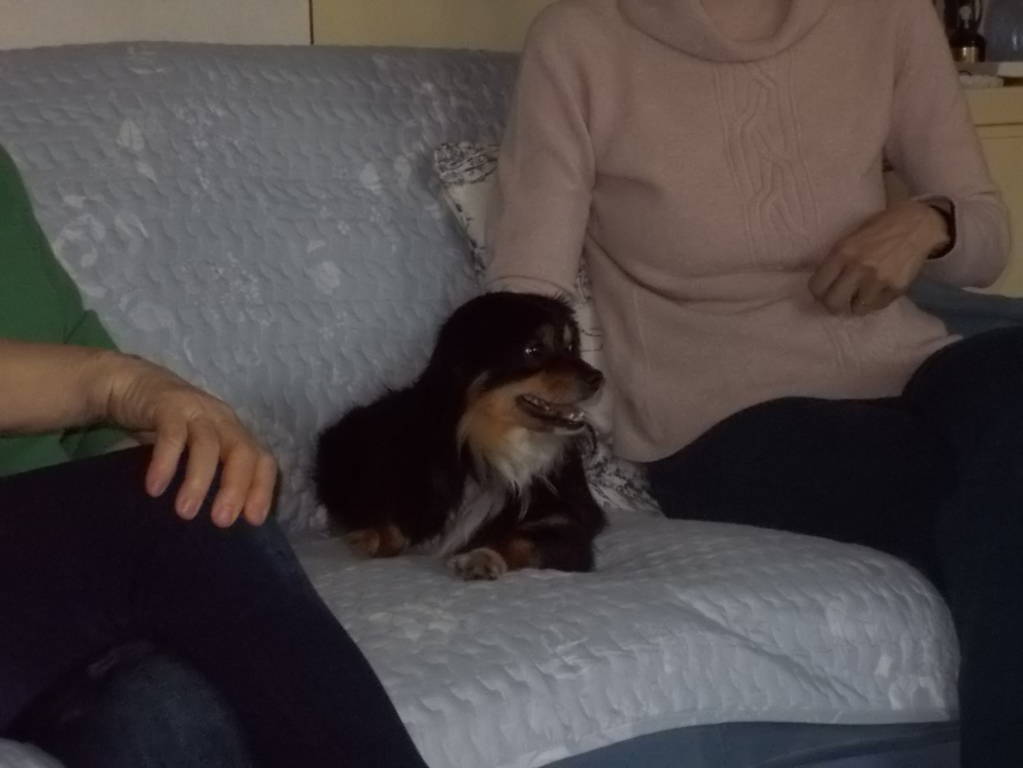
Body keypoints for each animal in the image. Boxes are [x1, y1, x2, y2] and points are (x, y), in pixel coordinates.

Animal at [314, 292, 607, 580]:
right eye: (533, 350)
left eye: (570, 347)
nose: (598, 378)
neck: (492, 449)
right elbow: (397, 523)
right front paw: (371, 537)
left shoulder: (568, 524)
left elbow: (521, 540)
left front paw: (482, 557)